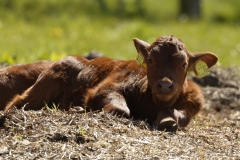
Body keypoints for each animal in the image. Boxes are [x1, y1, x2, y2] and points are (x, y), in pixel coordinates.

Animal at [4, 36, 218, 130]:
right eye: (150, 60)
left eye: (183, 64)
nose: (165, 85)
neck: (151, 103)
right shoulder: (106, 87)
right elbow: (119, 108)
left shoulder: (191, 105)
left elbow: (178, 116)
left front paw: (167, 119)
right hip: (43, 86)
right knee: (16, 103)